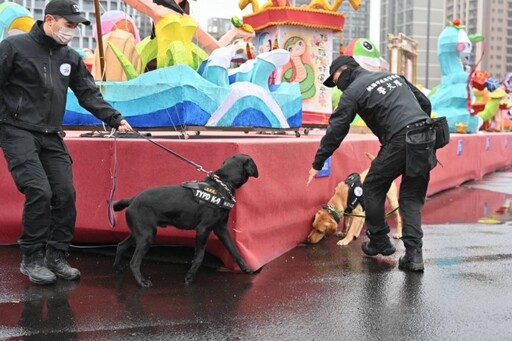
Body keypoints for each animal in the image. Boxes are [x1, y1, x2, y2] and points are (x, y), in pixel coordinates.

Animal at [111, 153, 256, 286]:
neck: (223, 184)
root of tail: (132, 199)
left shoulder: (221, 229)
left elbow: (234, 251)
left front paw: (246, 269)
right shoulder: (203, 229)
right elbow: (199, 256)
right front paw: (189, 276)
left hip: (139, 233)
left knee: (120, 246)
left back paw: (118, 269)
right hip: (146, 235)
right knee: (134, 262)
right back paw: (142, 282)